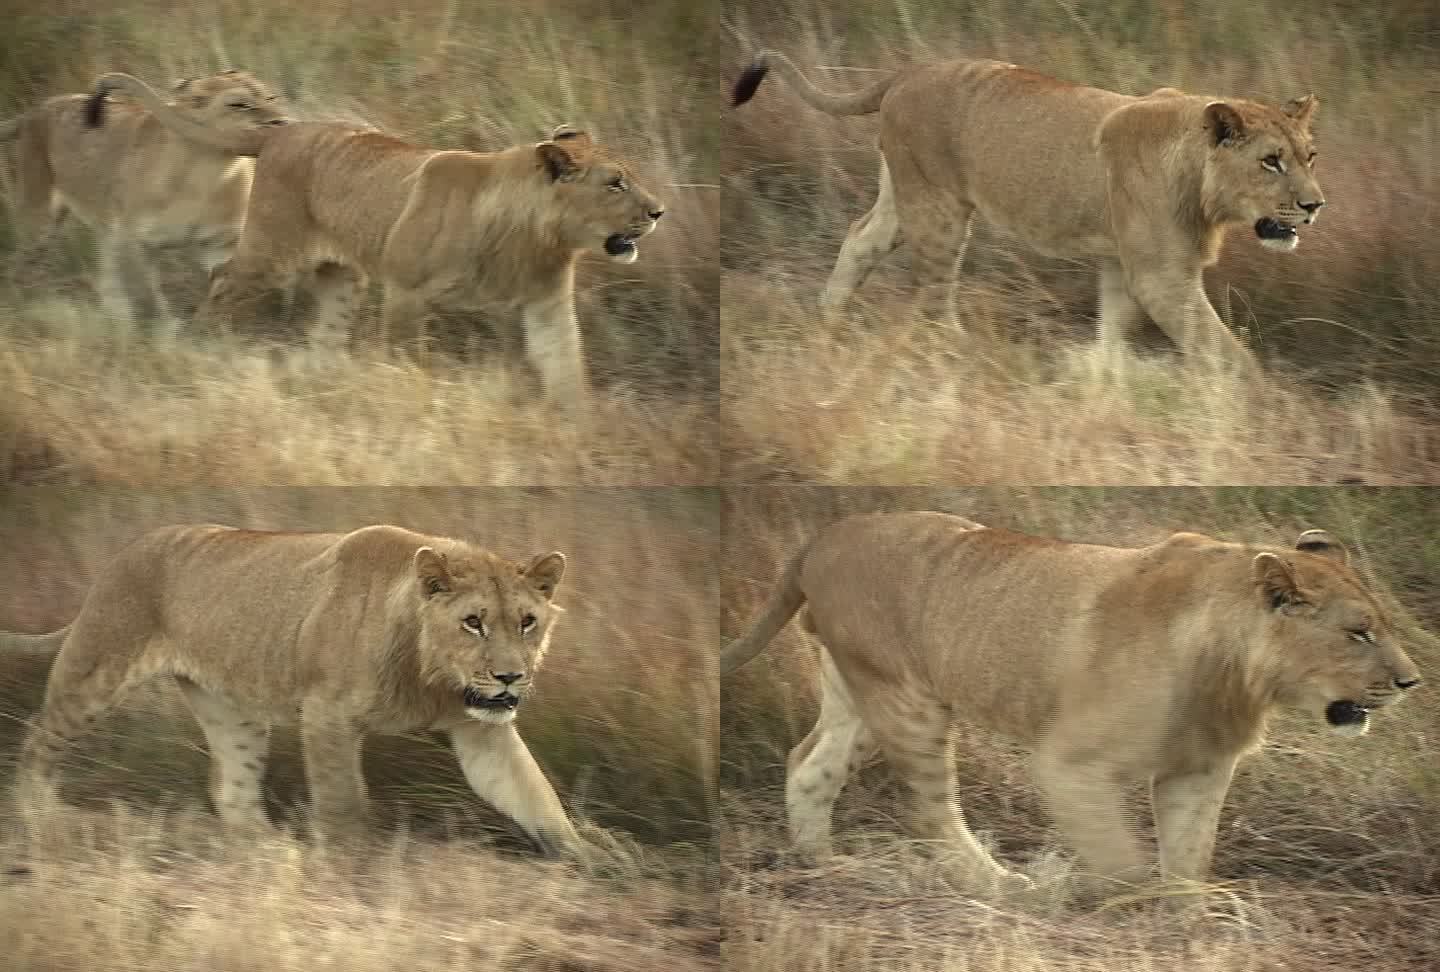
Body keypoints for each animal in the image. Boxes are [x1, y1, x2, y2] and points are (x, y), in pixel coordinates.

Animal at [1, 70, 289, 332]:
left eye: (271, 97)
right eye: (238, 105)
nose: (283, 122)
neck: (209, 171)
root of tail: (39, 108)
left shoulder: (220, 243)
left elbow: (223, 283)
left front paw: (212, 326)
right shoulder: (134, 240)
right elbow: (147, 295)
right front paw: (164, 331)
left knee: (106, 272)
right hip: (39, 218)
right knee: (23, 260)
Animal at [2, 524, 584, 858]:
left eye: (527, 622)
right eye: (473, 623)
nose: (510, 677)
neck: (431, 679)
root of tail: (123, 552)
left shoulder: (480, 731)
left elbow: (535, 796)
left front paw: (586, 860)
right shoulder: (327, 714)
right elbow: (343, 802)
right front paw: (351, 872)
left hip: (233, 710)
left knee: (233, 791)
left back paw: (265, 853)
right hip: (97, 668)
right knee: (38, 735)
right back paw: (36, 816)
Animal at [92, 73, 665, 411]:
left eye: (628, 178)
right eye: (615, 183)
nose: (659, 211)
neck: (533, 238)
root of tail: (278, 129)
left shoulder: (547, 305)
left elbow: (566, 368)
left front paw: (580, 432)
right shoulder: (407, 291)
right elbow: (407, 360)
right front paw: (409, 405)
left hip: (343, 276)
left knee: (325, 332)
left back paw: (322, 383)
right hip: (270, 256)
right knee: (222, 281)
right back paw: (199, 350)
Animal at [725, 512, 1422, 898]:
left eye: (1380, 627)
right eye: (1359, 633)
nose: (1413, 682)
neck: (1238, 673)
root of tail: (824, 536)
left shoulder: (1199, 769)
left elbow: (1189, 855)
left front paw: (1188, 920)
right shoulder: (1071, 762)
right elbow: (1121, 854)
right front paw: (1126, 903)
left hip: (861, 694)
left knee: (808, 765)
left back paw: (817, 865)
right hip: (908, 699)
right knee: (928, 808)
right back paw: (1000, 884)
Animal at [731, 51, 1324, 374]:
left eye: (1309, 156)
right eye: (1271, 161)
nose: (1315, 205)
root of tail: (907, 72)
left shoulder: (1121, 261)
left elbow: (1113, 329)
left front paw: (1101, 379)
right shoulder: (1161, 276)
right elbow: (1223, 350)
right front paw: (1255, 406)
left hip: (903, 195)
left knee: (860, 239)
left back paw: (826, 323)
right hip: (938, 208)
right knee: (935, 297)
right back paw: (959, 355)